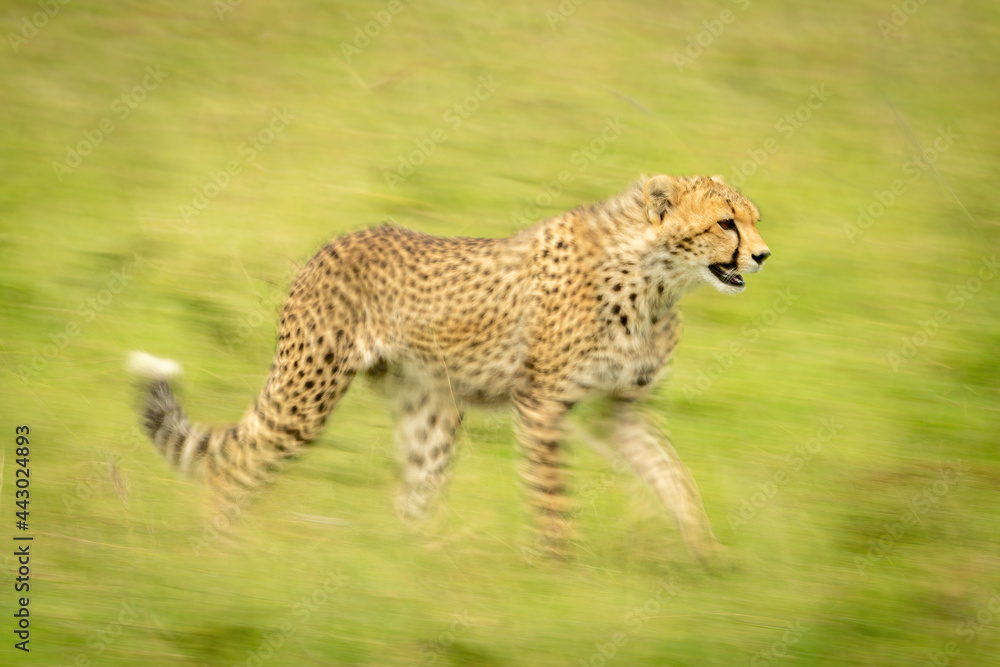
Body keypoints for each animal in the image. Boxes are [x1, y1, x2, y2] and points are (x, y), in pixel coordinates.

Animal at [128, 174, 770, 563]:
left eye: (754, 219)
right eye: (725, 223)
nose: (763, 255)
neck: (656, 280)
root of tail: (335, 242)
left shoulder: (620, 413)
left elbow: (673, 476)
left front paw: (707, 554)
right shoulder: (542, 404)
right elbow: (552, 496)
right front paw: (557, 572)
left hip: (430, 409)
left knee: (414, 495)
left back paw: (422, 567)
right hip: (306, 395)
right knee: (234, 461)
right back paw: (221, 551)